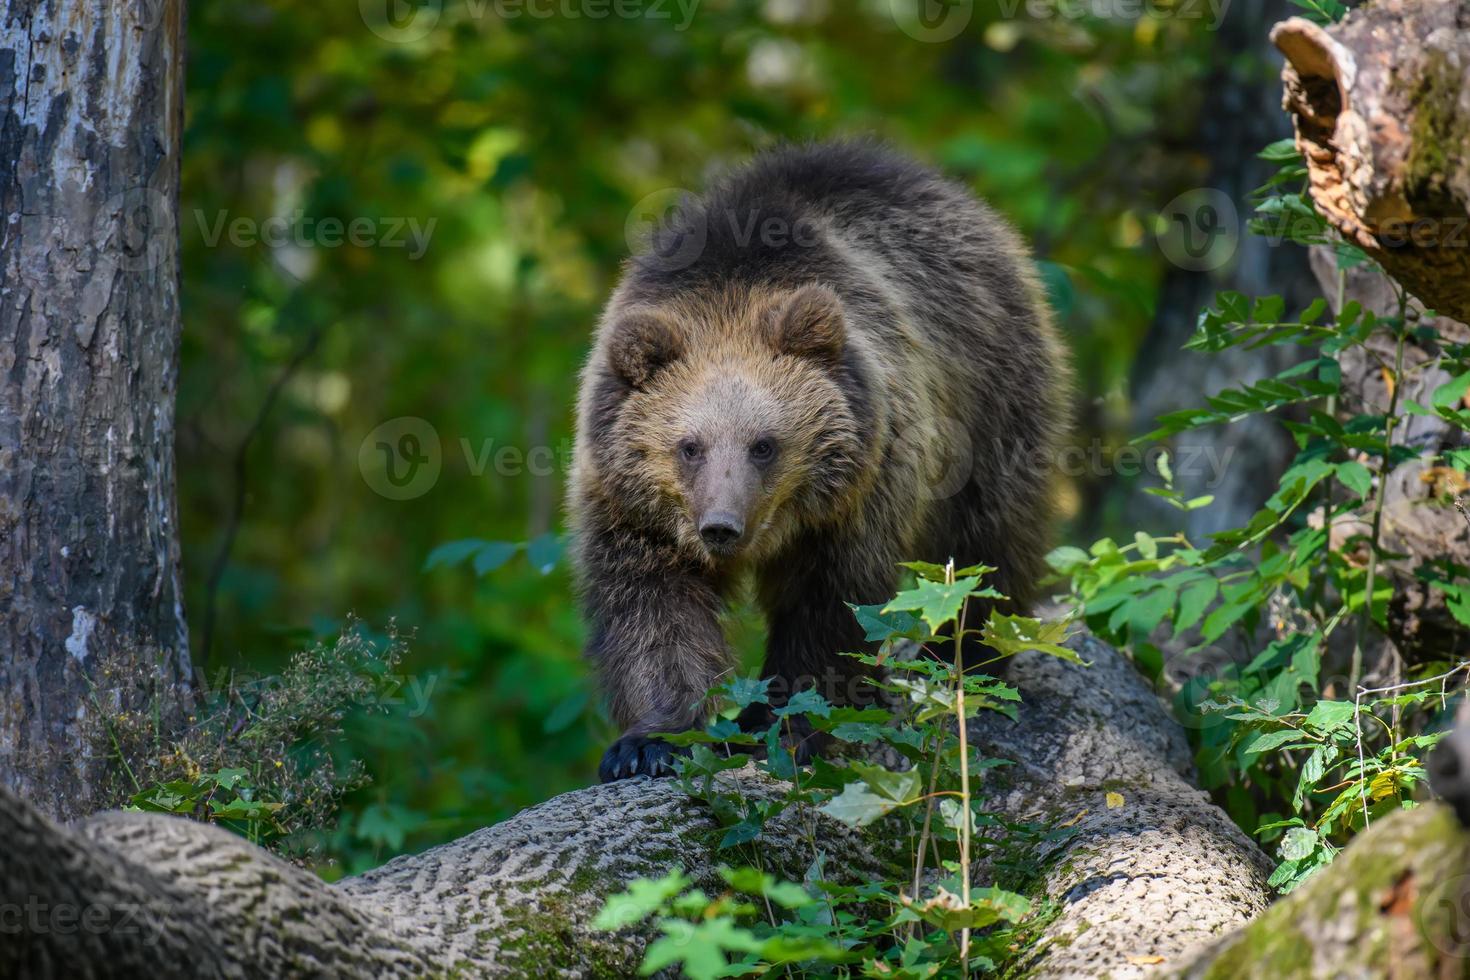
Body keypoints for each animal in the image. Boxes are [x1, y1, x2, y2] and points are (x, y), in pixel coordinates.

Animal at [570, 139, 1070, 781]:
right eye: (689, 446)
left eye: (764, 443)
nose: (721, 527)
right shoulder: (629, 504)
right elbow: (650, 607)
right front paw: (652, 742)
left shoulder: (859, 488)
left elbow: (832, 605)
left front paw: (786, 728)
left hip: (990, 390)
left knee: (987, 538)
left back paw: (970, 661)